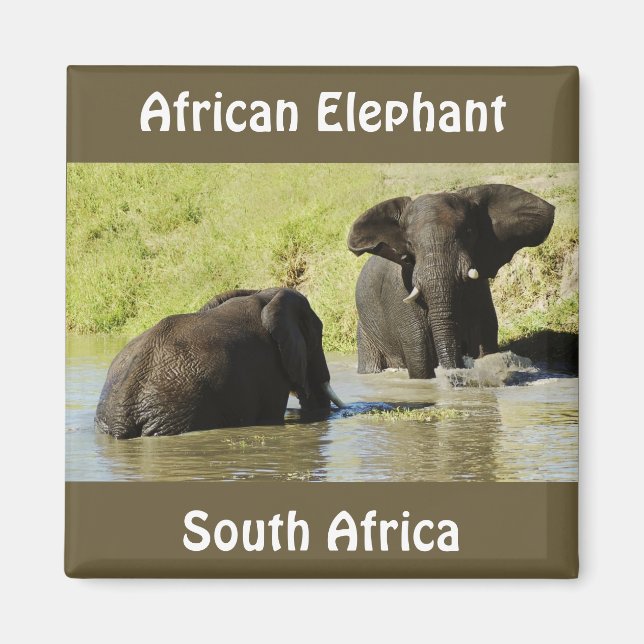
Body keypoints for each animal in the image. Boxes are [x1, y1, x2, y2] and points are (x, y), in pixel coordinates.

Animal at [347, 184, 555, 379]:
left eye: (469, 232)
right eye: (410, 244)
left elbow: (484, 342)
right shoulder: (400, 292)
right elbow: (419, 357)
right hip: (366, 333)